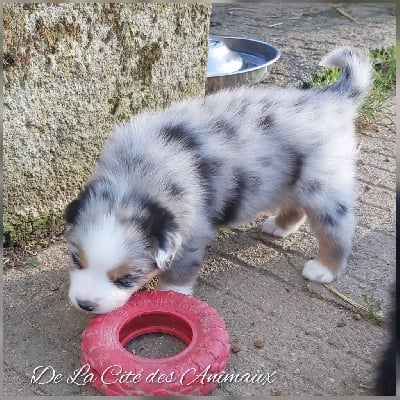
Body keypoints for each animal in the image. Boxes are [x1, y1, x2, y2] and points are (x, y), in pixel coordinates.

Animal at [65, 47, 372, 314]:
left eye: (127, 278)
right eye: (75, 259)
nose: (85, 304)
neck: (137, 175)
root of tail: (331, 100)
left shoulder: (191, 232)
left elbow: (180, 270)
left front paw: (173, 295)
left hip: (324, 186)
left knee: (337, 229)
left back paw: (324, 269)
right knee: (296, 206)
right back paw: (278, 226)